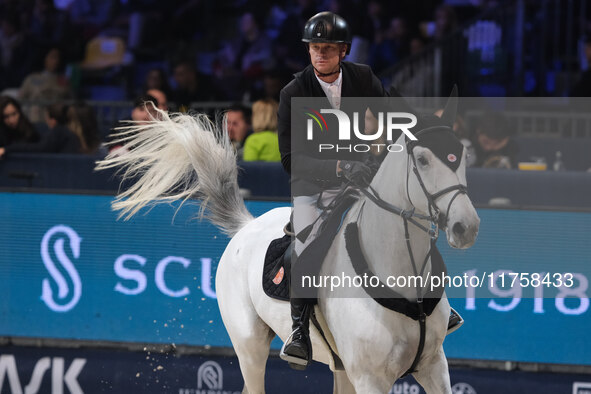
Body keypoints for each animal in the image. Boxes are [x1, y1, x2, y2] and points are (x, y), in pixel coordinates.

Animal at [97, 96, 480, 394]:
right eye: (423, 160)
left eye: (462, 156)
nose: (466, 227)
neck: (401, 273)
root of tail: (247, 227)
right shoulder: (371, 378)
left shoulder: (433, 366)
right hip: (249, 347)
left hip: (340, 368)